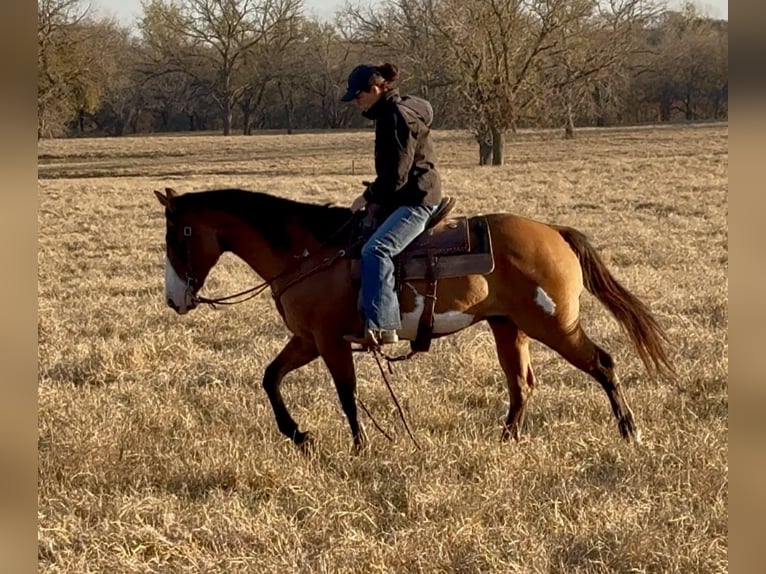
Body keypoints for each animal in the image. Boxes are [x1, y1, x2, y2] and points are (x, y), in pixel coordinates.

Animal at [154, 187, 674, 452]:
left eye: (177, 235)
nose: (174, 299)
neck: (308, 252)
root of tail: (554, 231)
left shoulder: (329, 341)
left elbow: (347, 395)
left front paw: (360, 448)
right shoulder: (306, 340)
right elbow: (270, 378)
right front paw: (299, 436)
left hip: (554, 326)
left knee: (602, 364)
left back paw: (630, 432)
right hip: (508, 327)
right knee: (522, 385)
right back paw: (506, 441)